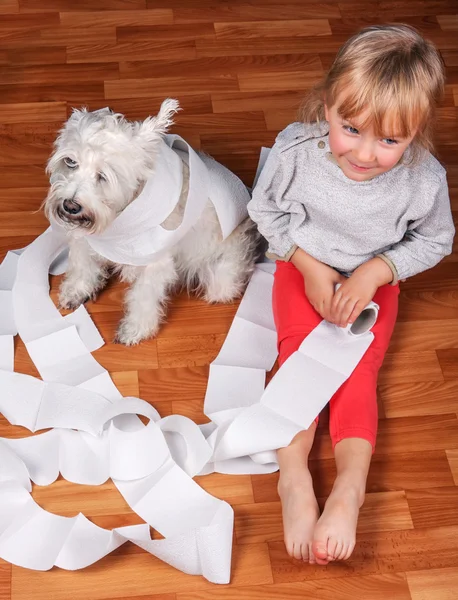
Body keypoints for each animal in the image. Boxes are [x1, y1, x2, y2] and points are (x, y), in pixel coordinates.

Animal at [44, 100, 260, 344]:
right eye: (70, 161)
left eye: (104, 176)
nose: (70, 206)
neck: (120, 219)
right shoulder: (86, 238)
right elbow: (82, 265)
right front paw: (76, 290)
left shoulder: (155, 264)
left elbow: (143, 297)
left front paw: (134, 329)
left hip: (221, 277)